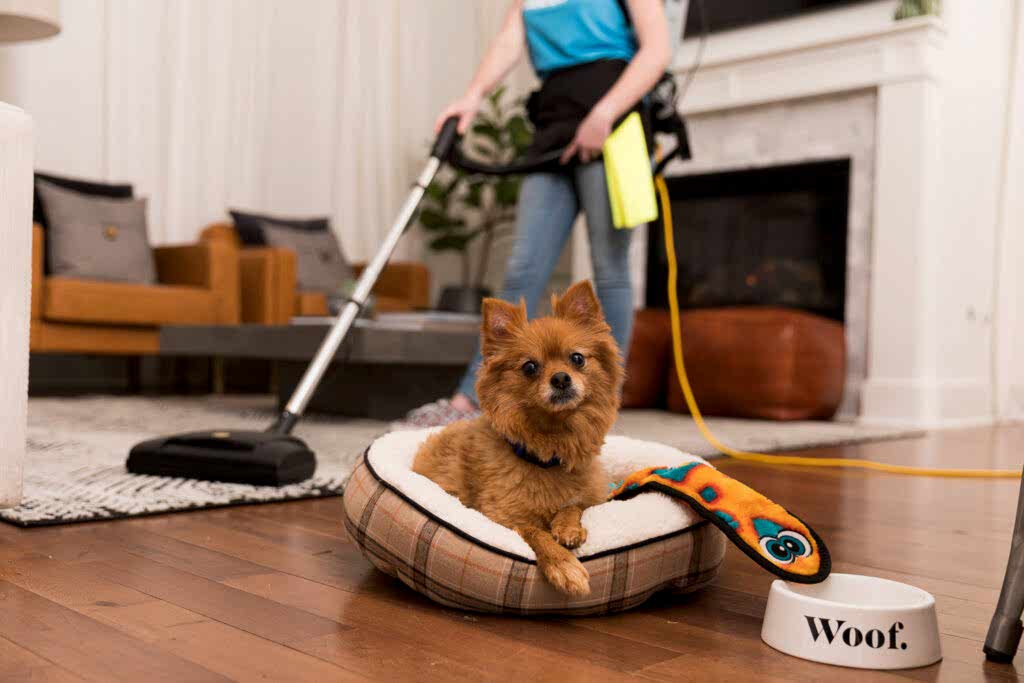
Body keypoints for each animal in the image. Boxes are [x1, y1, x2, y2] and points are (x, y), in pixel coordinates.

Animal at [409, 280, 618, 593]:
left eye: (577, 358)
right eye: (530, 367)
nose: (560, 378)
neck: (550, 450)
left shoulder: (592, 498)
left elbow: (573, 505)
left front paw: (567, 527)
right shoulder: (503, 518)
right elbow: (536, 532)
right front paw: (564, 565)